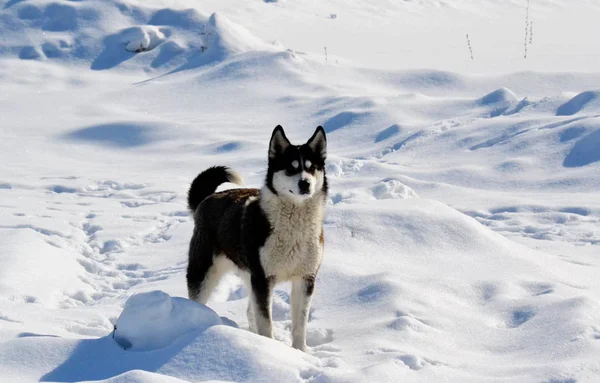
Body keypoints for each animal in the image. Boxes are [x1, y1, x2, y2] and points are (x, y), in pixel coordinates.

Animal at [188, 125, 328, 352]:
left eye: (312, 167)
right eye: (290, 168)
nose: (305, 183)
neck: (294, 222)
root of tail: (206, 200)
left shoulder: (305, 279)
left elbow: (300, 326)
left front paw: (300, 352)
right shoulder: (263, 279)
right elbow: (266, 323)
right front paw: (270, 349)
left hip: (248, 274)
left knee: (249, 311)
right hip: (203, 272)